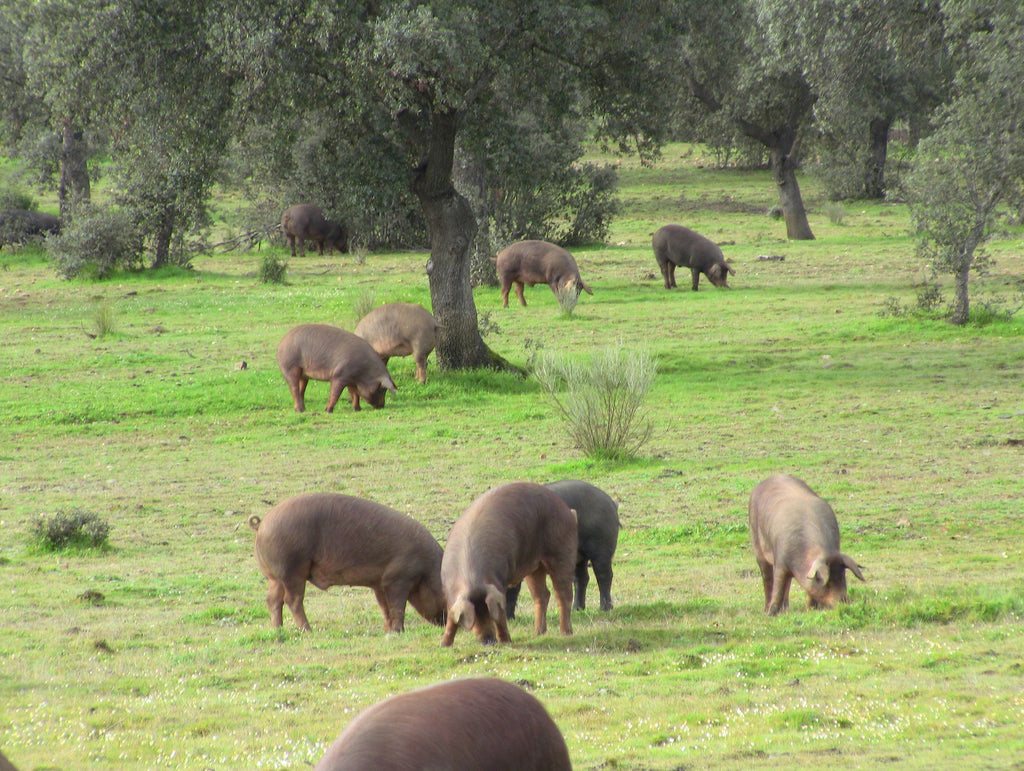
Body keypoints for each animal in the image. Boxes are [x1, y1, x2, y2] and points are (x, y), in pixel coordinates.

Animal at [247, 493, 444, 630]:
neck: (427, 570)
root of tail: (262, 524)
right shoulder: (399, 578)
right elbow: (397, 606)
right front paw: (398, 631)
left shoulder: (381, 583)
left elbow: (384, 607)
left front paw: (388, 630)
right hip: (291, 569)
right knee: (292, 599)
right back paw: (307, 630)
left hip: (274, 576)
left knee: (273, 600)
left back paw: (277, 629)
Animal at [438, 483, 577, 647]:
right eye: (474, 619)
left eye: (488, 614)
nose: (489, 640)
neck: (472, 578)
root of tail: (569, 511)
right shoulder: (449, 594)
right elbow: (451, 619)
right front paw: (444, 645)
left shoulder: (498, 588)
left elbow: (501, 617)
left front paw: (506, 642)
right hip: (534, 567)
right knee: (542, 595)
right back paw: (538, 632)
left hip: (563, 552)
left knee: (563, 594)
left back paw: (565, 633)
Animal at [505, 479, 618, 618]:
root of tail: (611, 502)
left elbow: (512, 590)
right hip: (578, 555)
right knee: (581, 578)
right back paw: (577, 609)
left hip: (601, 548)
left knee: (604, 574)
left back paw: (605, 608)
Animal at [745, 468, 864, 614]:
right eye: (827, 581)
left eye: (843, 576)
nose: (844, 602)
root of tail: (765, 481)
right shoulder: (781, 560)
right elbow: (778, 587)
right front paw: (772, 614)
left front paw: (809, 610)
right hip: (756, 543)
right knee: (767, 579)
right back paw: (767, 609)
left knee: (787, 583)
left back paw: (786, 609)